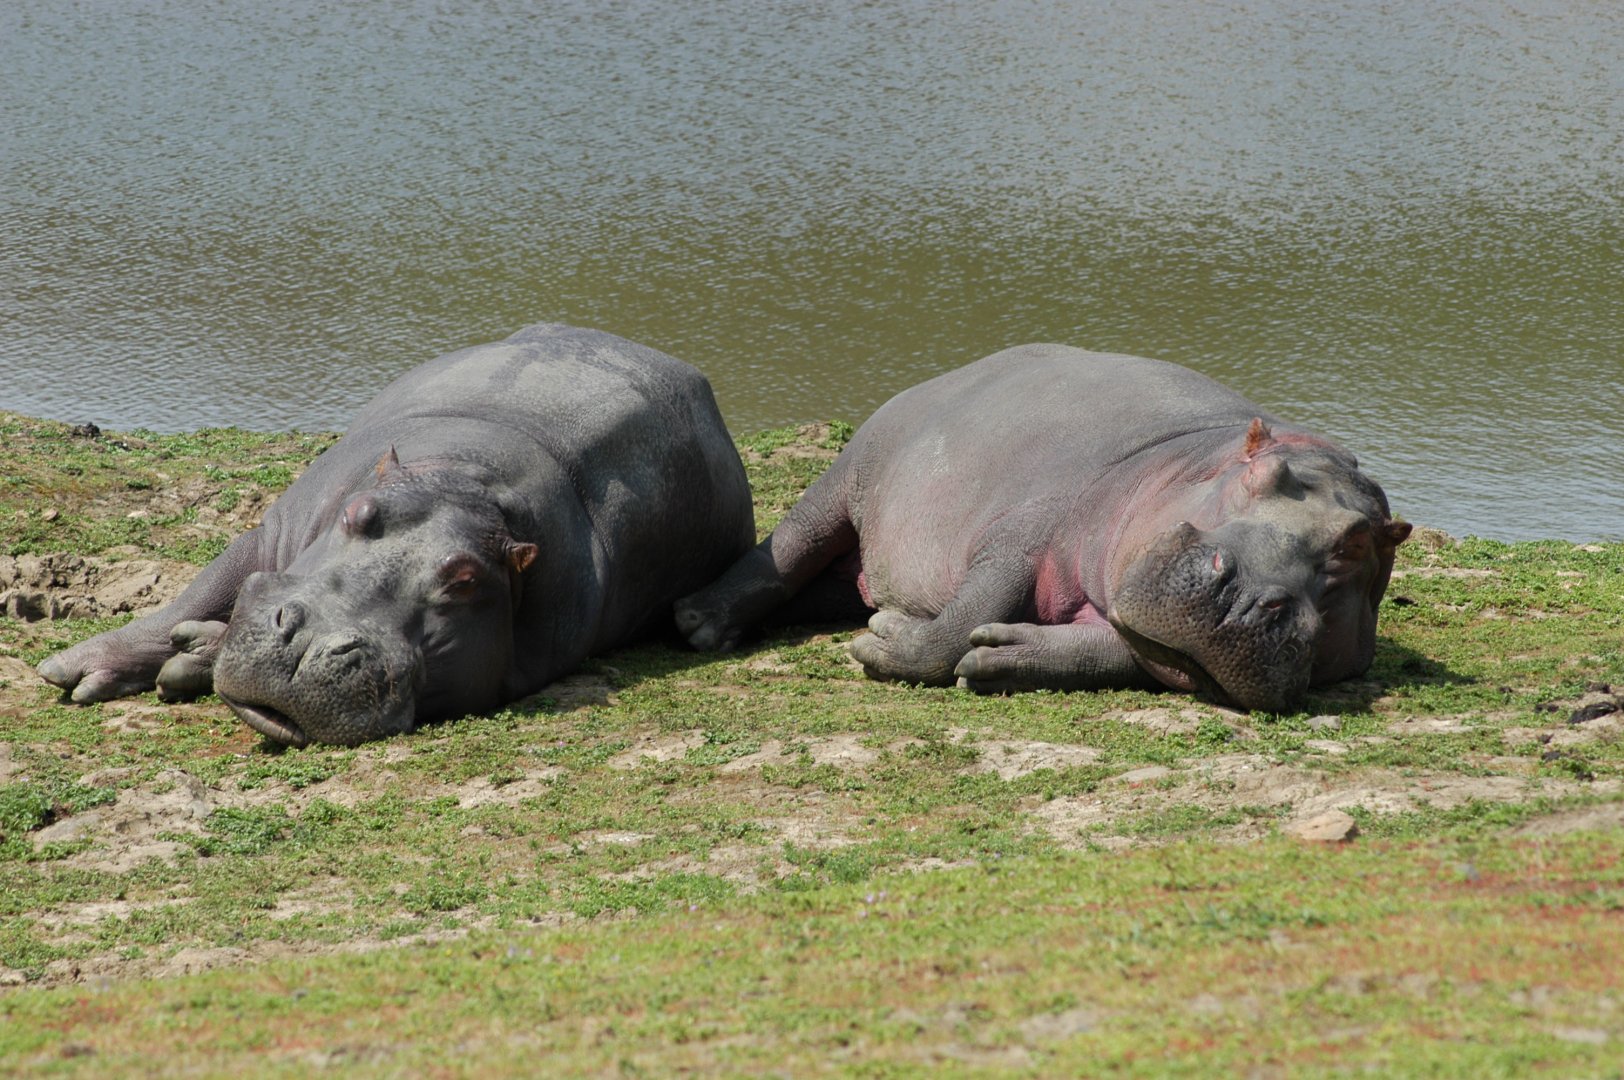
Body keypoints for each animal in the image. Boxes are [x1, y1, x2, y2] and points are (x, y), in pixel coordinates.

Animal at [39, 324, 755, 745]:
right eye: (357, 514)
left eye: (465, 582)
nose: (308, 645)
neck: (466, 481)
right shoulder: (276, 530)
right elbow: (201, 589)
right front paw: (77, 670)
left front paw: (189, 656)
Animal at [676, 344, 1411, 712]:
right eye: (1260, 476)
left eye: (1355, 545)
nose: (1247, 604)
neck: (1193, 460)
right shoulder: (1025, 532)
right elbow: (963, 616)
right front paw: (886, 643)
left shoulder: (1136, 621)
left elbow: (1114, 653)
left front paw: (997, 656)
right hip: (851, 474)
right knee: (791, 545)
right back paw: (701, 624)